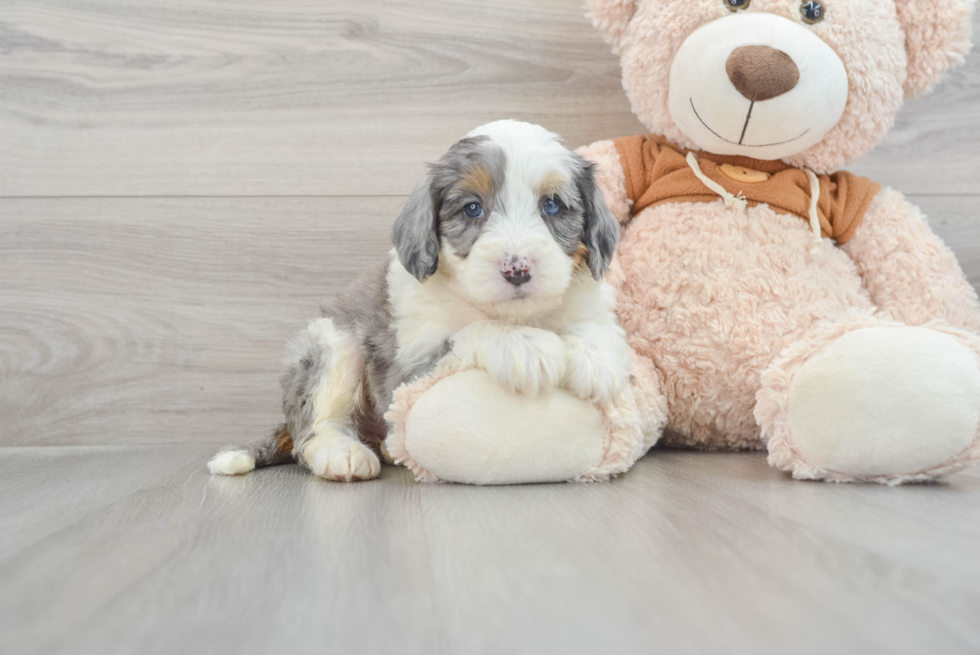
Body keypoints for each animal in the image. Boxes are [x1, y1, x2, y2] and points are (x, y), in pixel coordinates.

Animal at [211, 121, 632, 482]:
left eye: (552, 206)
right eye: (473, 208)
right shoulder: (407, 367)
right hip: (331, 344)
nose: (517, 269)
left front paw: (596, 360)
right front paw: (526, 346)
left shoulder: (588, 300)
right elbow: (471, 331)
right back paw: (343, 452)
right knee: (312, 429)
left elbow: (597, 326)